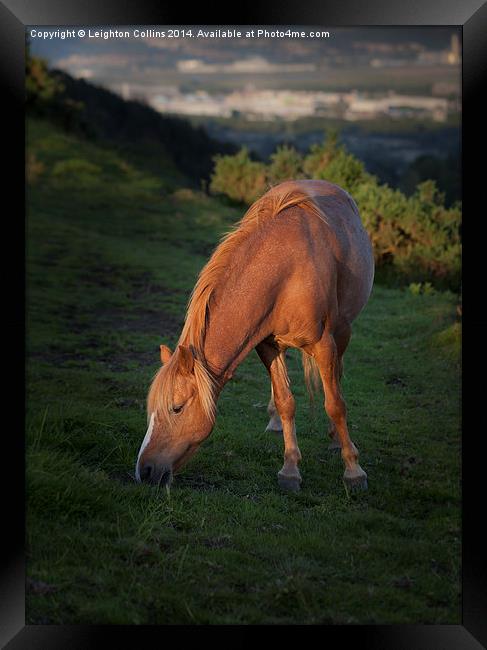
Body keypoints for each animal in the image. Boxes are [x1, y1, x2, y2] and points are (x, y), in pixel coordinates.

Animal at [135, 177, 376, 492]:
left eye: (176, 408)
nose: (144, 471)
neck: (287, 272)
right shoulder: (267, 346)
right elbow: (286, 402)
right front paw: (290, 470)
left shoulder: (324, 344)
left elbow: (335, 404)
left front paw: (353, 471)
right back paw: (275, 421)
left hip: (343, 331)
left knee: (336, 378)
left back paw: (336, 438)